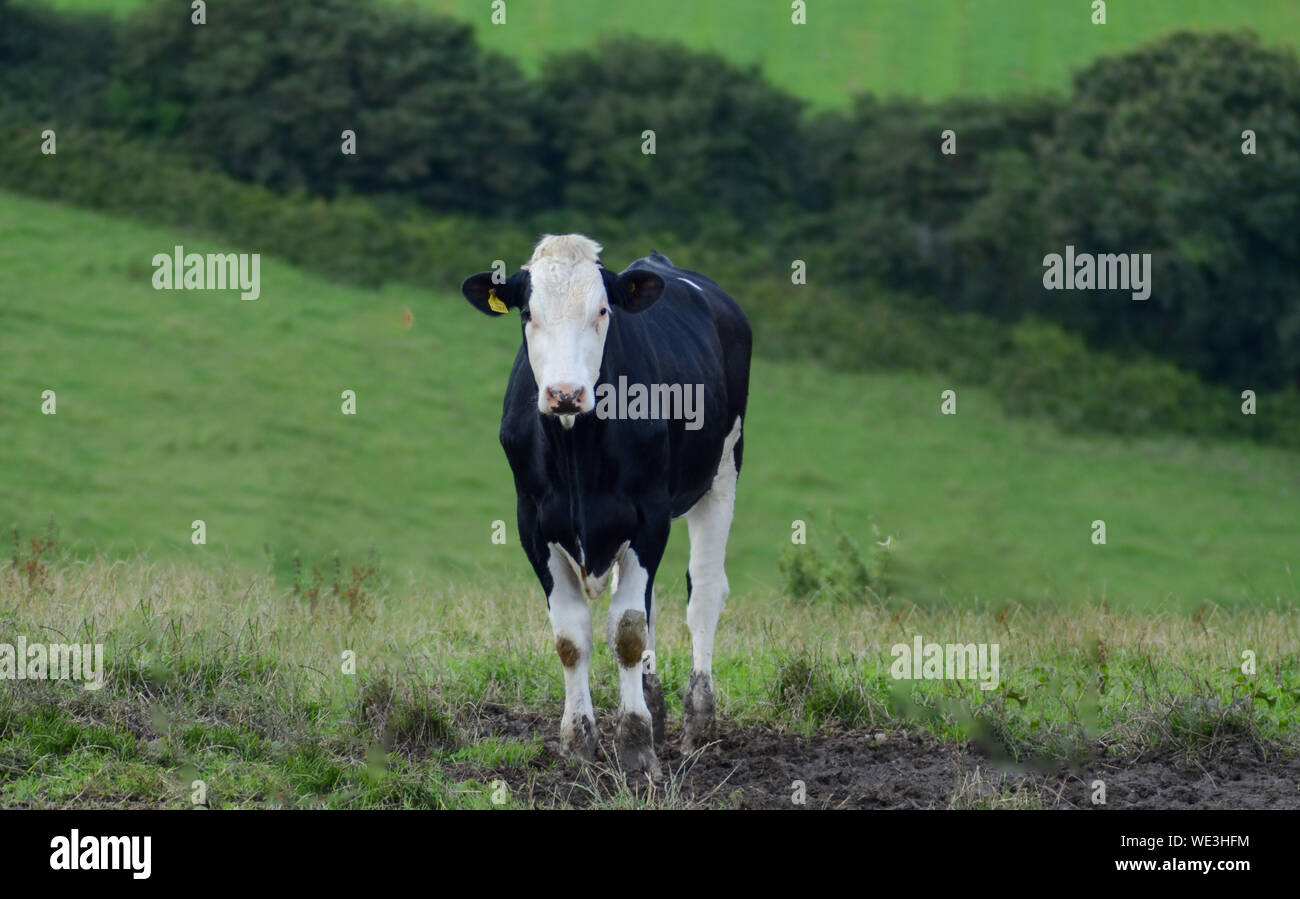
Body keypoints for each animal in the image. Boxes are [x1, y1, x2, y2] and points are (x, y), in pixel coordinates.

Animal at [461, 234, 751, 775]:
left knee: (703, 591)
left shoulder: (649, 517)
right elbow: (573, 637)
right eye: (527, 312)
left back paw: (697, 717)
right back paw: (656, 706)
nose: (565, 393)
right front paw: (579, 739)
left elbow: (628, 631)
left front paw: (635, 743)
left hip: (724, 466)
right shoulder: (532, 523)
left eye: (601, 311)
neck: (577, 451)